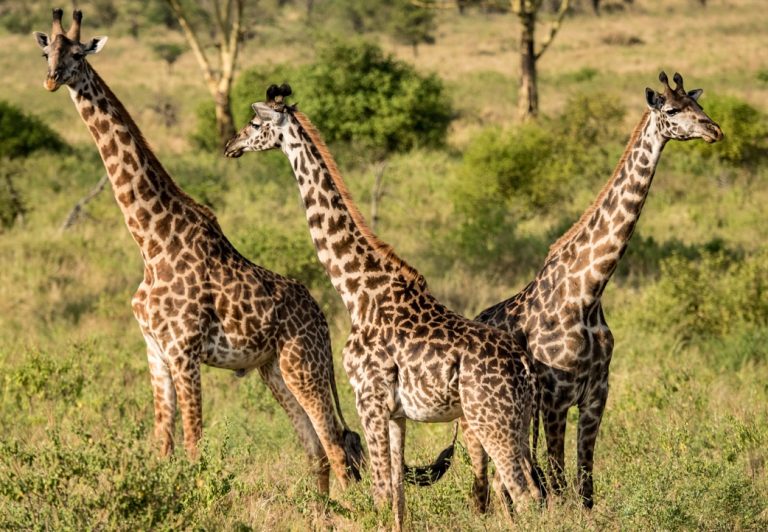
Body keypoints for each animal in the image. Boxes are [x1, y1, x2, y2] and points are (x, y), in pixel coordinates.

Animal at [33, 9, 365, 496]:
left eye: (78, 54)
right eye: (47, 53)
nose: (52, 80)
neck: (151, 240)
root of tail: (324, 319)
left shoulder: (183, 350)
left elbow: (193, 445)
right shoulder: (154, 350)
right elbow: (163, 443)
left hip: (305, 365)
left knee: (337, 448)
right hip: (273, 369)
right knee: (316, 452)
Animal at [224, 84, 543, 530]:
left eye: (255, 123)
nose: (230, 145)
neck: (358, 291)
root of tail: (527, 367)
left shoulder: (368, 400)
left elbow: (378, 493)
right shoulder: (396, 413)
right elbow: (397, 497)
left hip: (491, 420)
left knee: (525, 494)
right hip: (516, 422)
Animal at [466, 72, 723, 510]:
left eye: (699, 105)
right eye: (673, 110)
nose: (714, 130)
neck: (588, 293)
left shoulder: (596, 396)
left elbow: (585, 487)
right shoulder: (555, 398)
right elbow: (558, 483)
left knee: (505, 481)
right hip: (482, 417)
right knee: (486, 483)